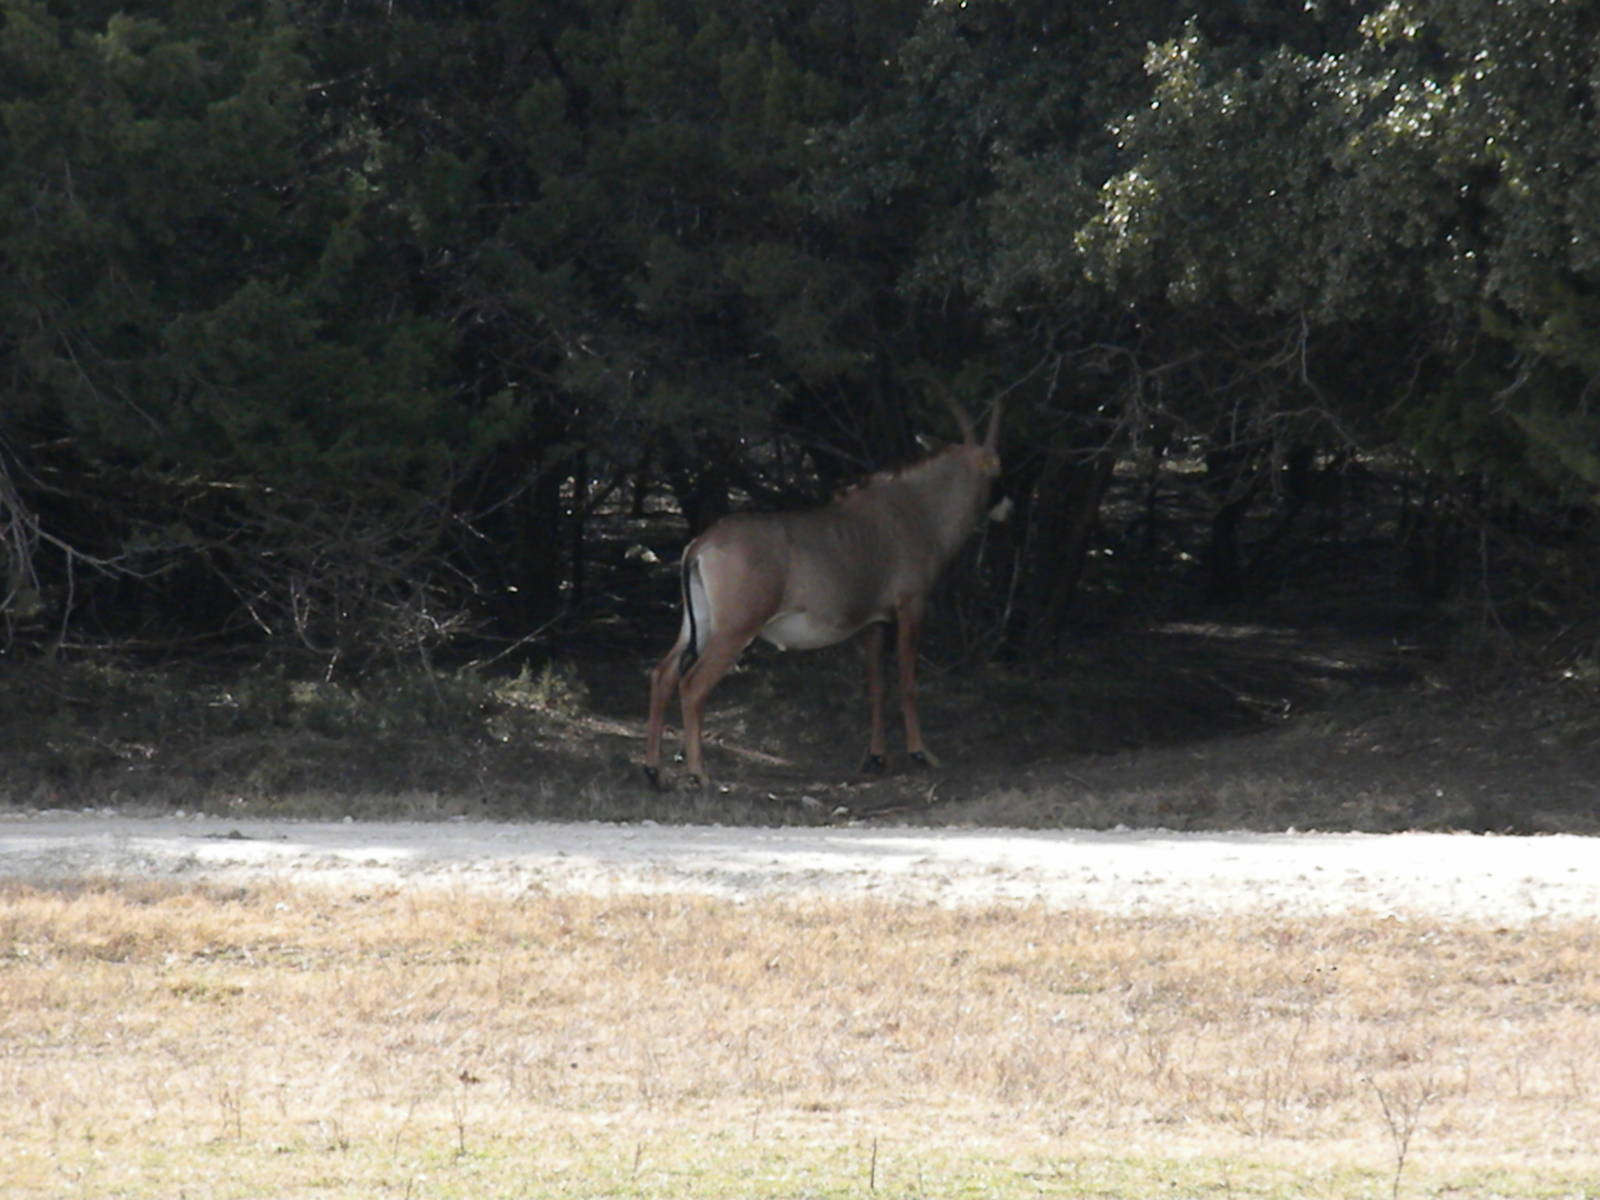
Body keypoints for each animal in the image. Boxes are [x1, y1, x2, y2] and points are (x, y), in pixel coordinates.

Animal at [644, 396, 1002, 789]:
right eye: (997, 468)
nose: (1005, 505)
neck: (917, 509)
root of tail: (702, 544)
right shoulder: (911, 606)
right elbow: (907, 682)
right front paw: (921, 753)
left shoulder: (873, 622)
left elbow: (877, 687)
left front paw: (876, 758)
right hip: (734, 632)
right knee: (692, 686)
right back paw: (699, 774)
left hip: (699, 626)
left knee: (663, 675)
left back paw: (652, 771)